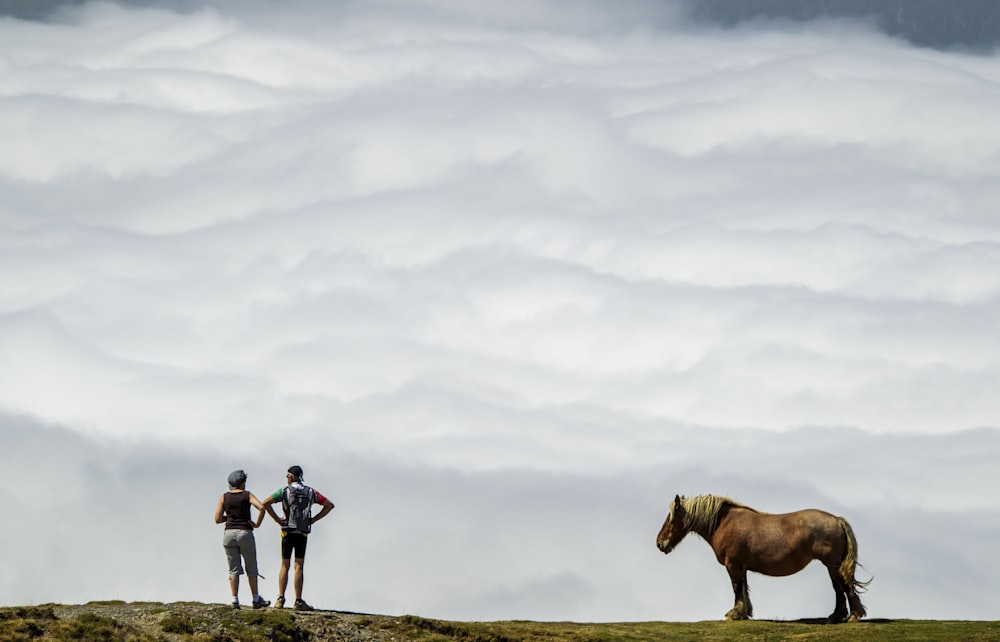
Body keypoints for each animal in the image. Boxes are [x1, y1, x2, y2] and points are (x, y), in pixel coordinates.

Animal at [652, 492, 872, 624]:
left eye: (671, 518)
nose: (660, 543)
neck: (724, 523)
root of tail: (837, 520)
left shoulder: (733, 565)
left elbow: (737, 589)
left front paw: (735, 613)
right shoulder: (741, 566)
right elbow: (744, 589)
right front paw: (744, 612)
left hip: (832, 564)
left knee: (844, 586)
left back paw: (853, 615)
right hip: (831, 565)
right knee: (838, 588)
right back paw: (837, 616)